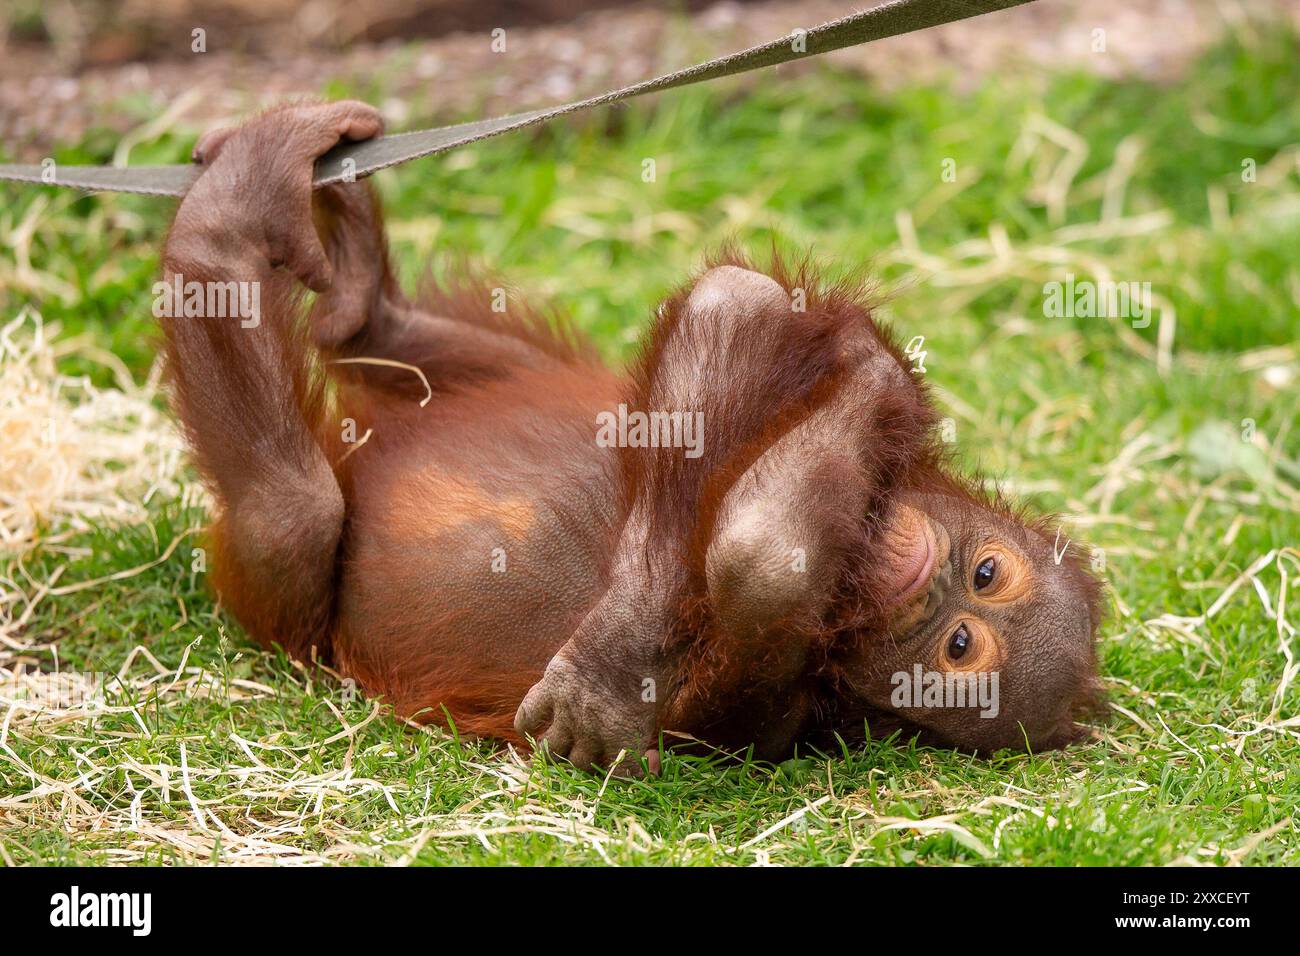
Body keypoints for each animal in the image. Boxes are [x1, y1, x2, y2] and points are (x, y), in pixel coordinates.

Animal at [159, 101, 1104, 773]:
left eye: (959, 645)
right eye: (987, 574)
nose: (931, 574)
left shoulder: (752, 698)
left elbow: (761, 560)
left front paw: (610, 672)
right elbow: (753, 308)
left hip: (287, 594)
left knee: (292, 511)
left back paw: (229, 219)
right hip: (543, 374)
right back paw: (356, 284)